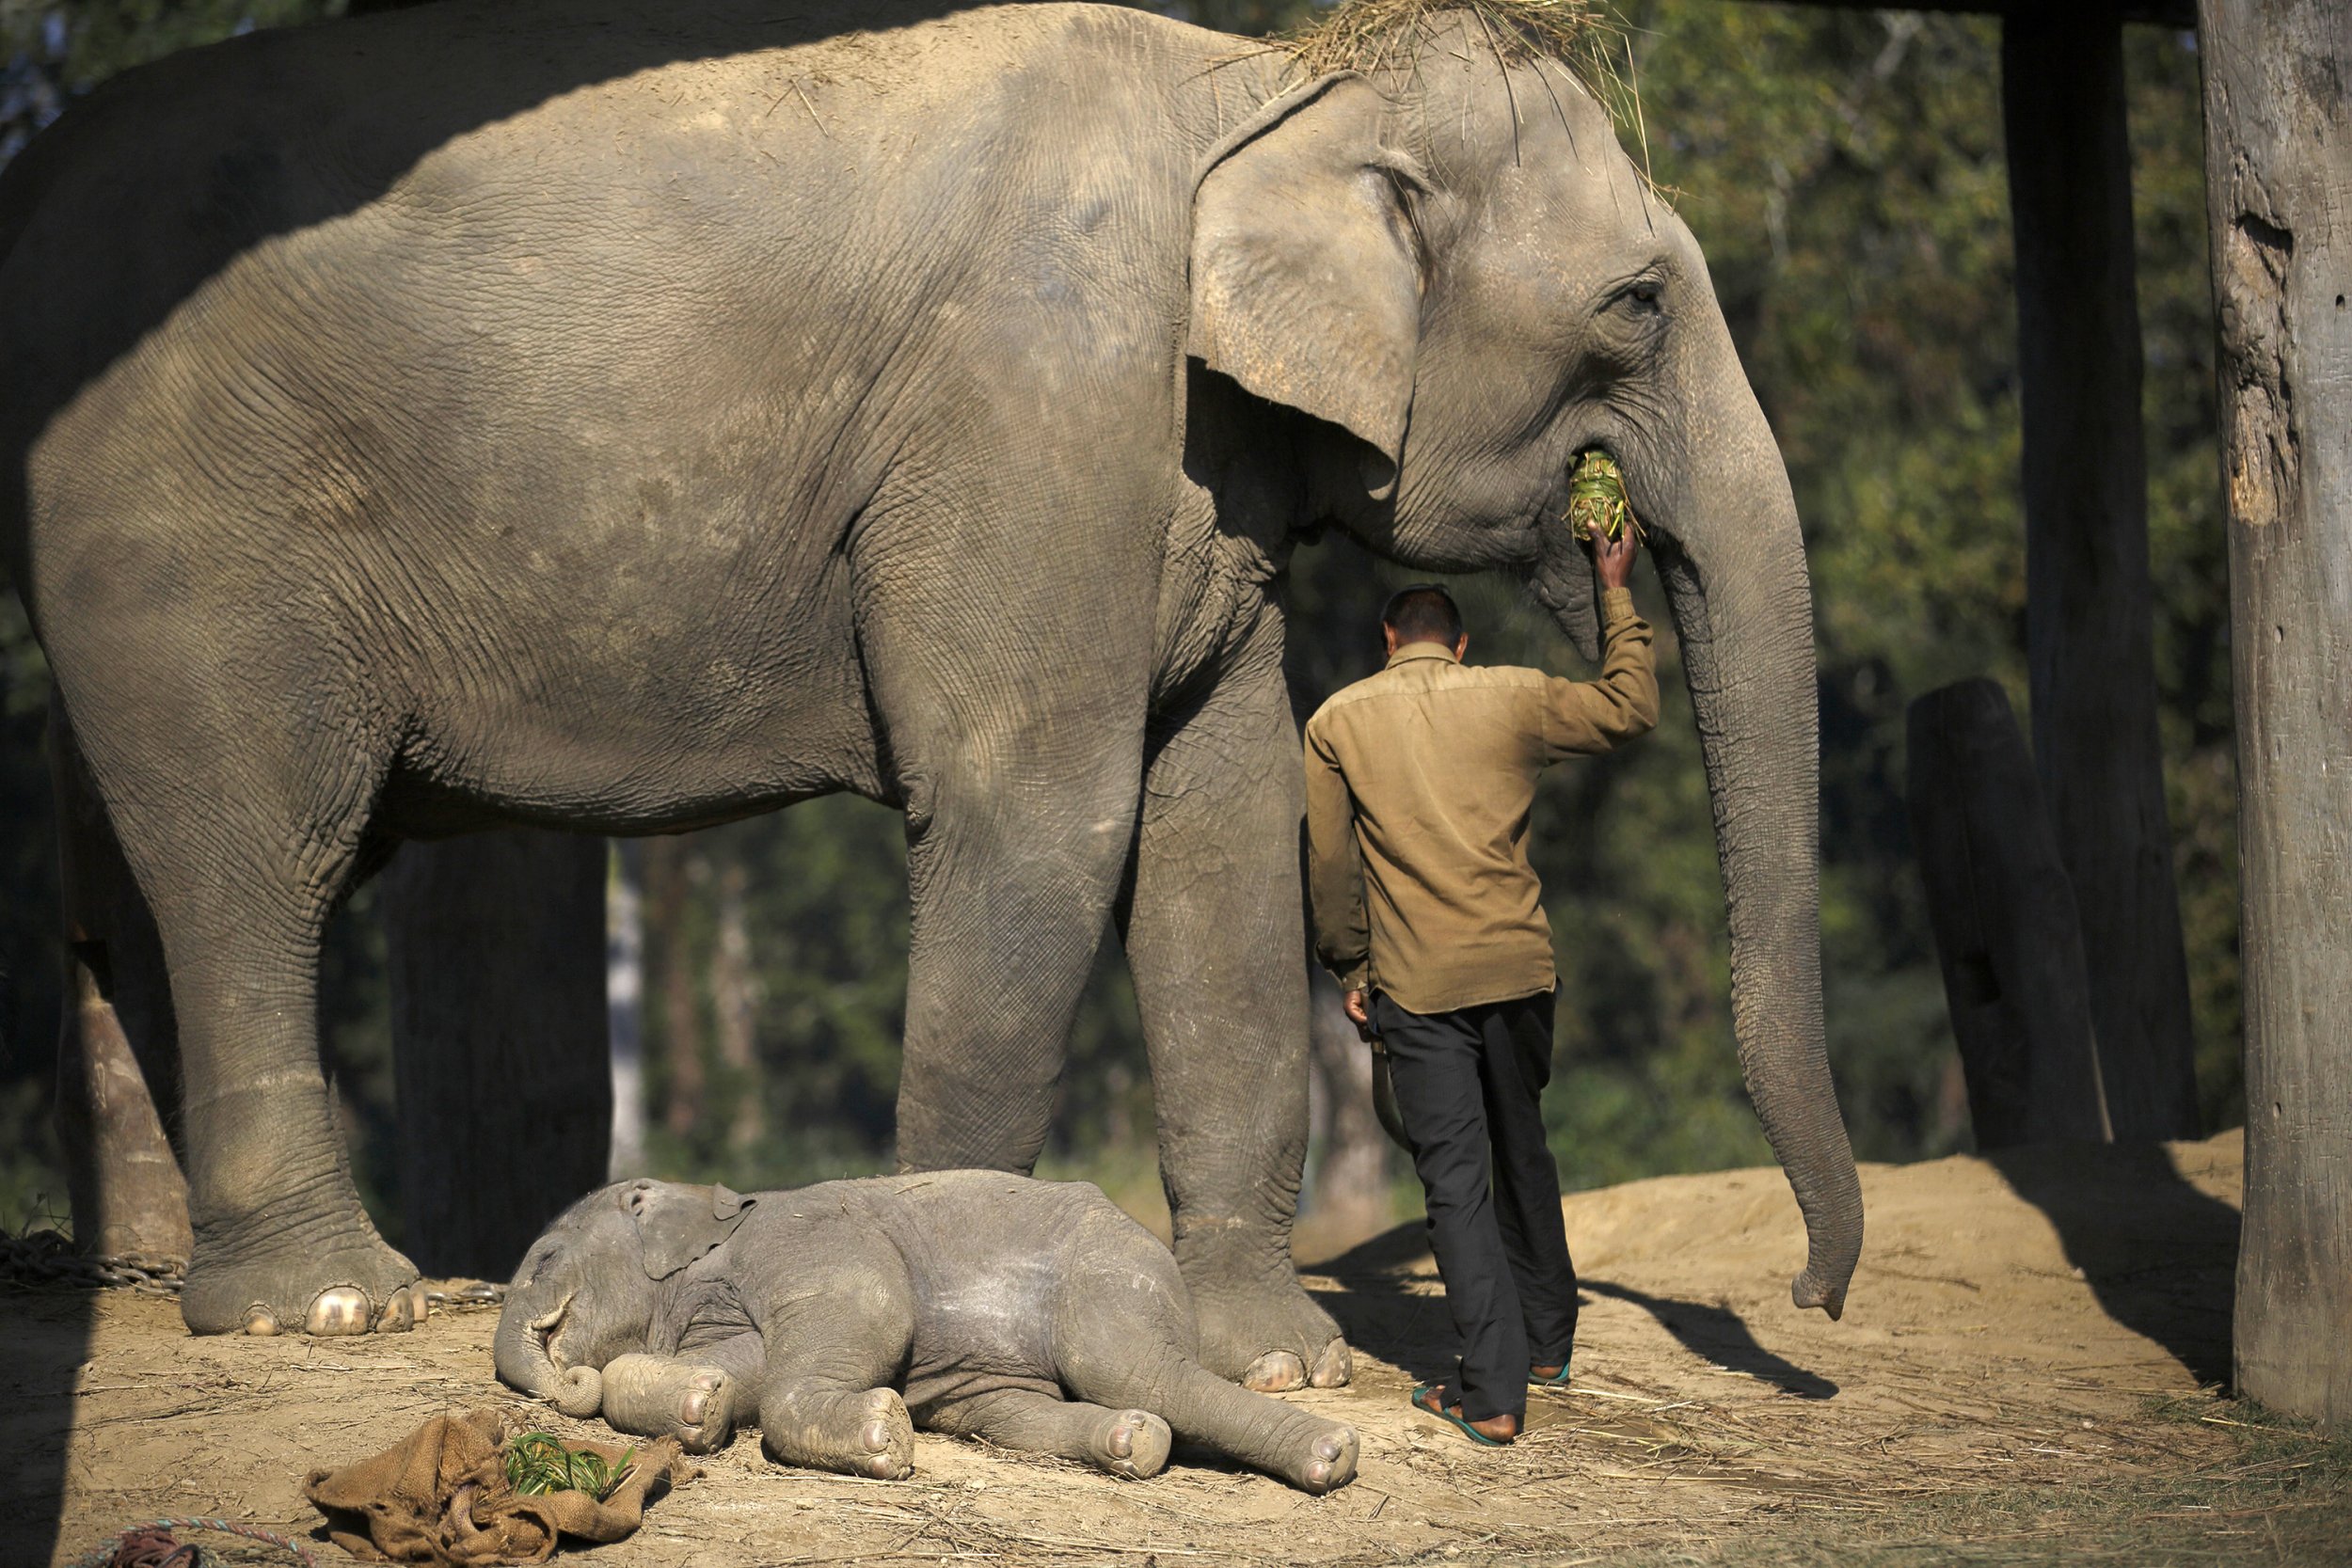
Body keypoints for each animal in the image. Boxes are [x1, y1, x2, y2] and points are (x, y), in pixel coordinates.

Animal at [4, 0, 1853, 1372]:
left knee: (112, 892)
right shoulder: (1041, 411)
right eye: (1637, 306)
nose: (1816, 1297)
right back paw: (327, 1304)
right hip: (183, 534)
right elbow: (1041, 817)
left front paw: (1278, 1358)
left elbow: (1222, 824)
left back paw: (137, 1282)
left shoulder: (1190, 473)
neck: (1269, 78)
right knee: (258, 860)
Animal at [496, 1175, 1364, 1495]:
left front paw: (884, 1434)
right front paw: (701, 1402)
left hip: (1111, 1274)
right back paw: (1134, 1443)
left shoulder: (809, 1237)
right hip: (1007, 1383)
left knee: (1137, 1369)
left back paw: (1332, 1455)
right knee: (1022, 1411)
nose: (565, 1374)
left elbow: (868, 1313)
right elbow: (744, 1365)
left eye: (543, 1257)